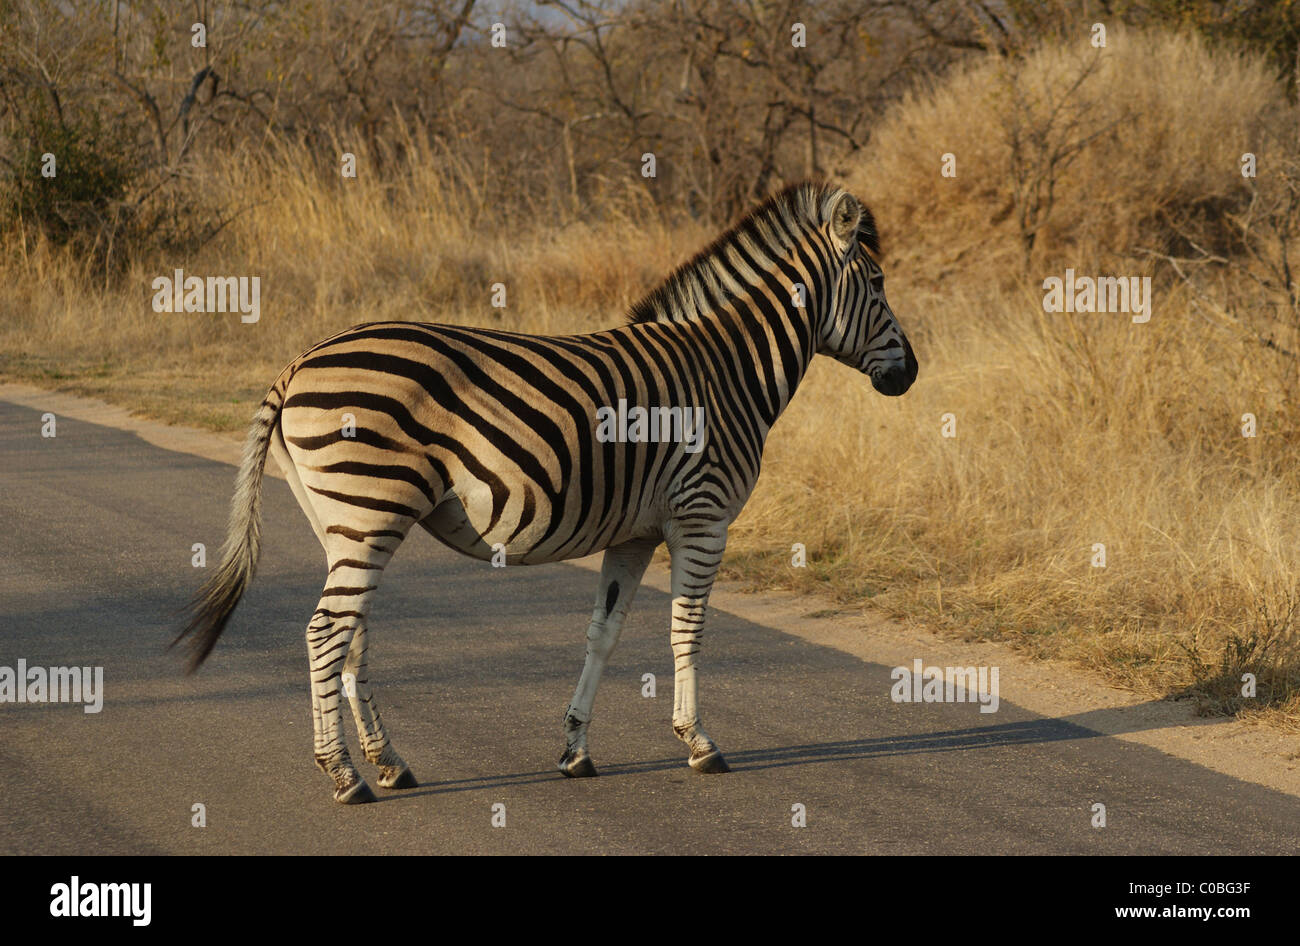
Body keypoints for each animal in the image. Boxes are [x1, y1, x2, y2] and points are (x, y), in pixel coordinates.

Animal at [175, 181, 918, 804]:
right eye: (879, 283)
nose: (910, 373)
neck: (727, 370)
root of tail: (297, 363)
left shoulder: (636, 532)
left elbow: (603, 633)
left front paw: (575, 749)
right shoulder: (703, 518)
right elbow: (688, 627)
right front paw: (699, 743)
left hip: (345, 521)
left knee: (349, 632)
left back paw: (387, 763)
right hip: (371, 510)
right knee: (326, 631)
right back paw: (343, 776)